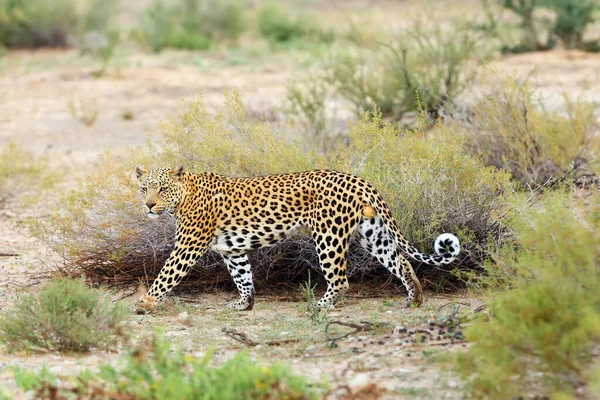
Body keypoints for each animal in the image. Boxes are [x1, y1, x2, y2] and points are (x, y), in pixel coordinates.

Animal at [132, 166, 460, 312]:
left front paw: (145, 303)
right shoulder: (233, 250)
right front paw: (245, 304)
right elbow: (243, 276)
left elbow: (167, 273)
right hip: (372, 233)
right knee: (401, 262)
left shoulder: (188, 245)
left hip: (328, 235)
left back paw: (319, 305)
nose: (148, 205)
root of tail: (359, 179)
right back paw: (414, 298)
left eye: (162, 188)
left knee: (340, 279)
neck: (182, 197)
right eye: (144, 188)